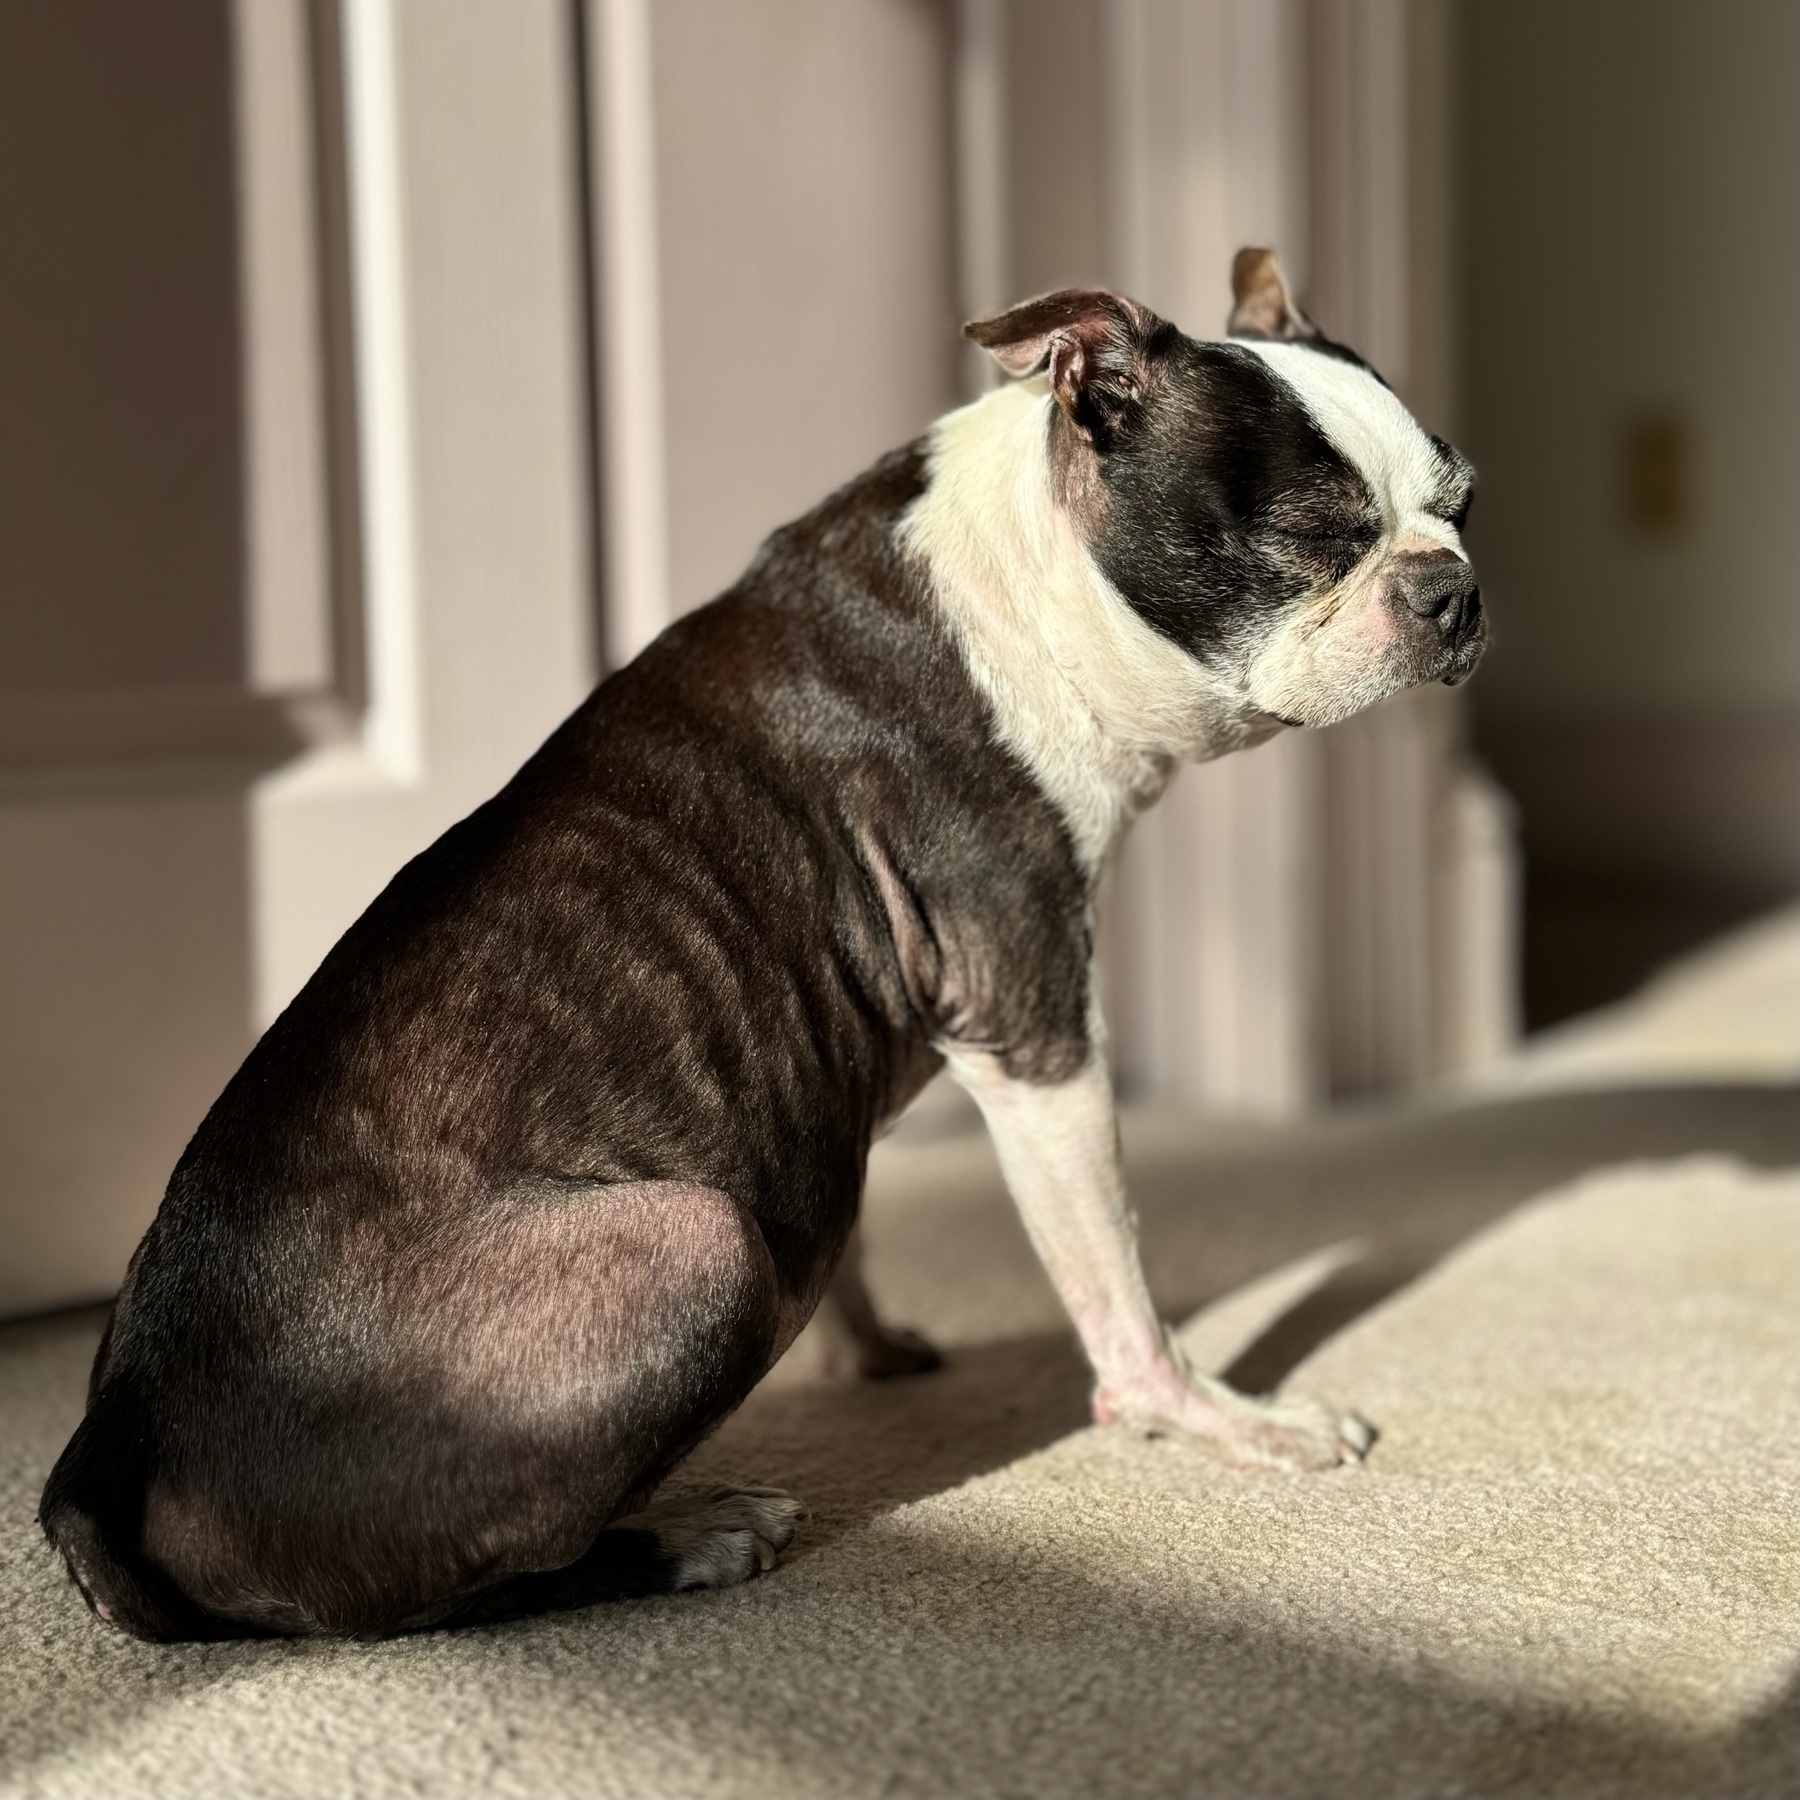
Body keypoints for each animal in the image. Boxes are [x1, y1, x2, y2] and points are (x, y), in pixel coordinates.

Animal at [38, 246, 1476, 1641]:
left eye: (1461, 496)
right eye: (1313, 536)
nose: (1453, 589)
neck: (1039, 580)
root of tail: (112, 1451)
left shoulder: (835, 1073)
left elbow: (851, 1211)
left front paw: (870, 1348)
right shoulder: (1034, 1022)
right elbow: (1114, 1274)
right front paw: (1219, 1418)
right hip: (696, 1242)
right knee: (460, 1587)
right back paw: (683, 1534)